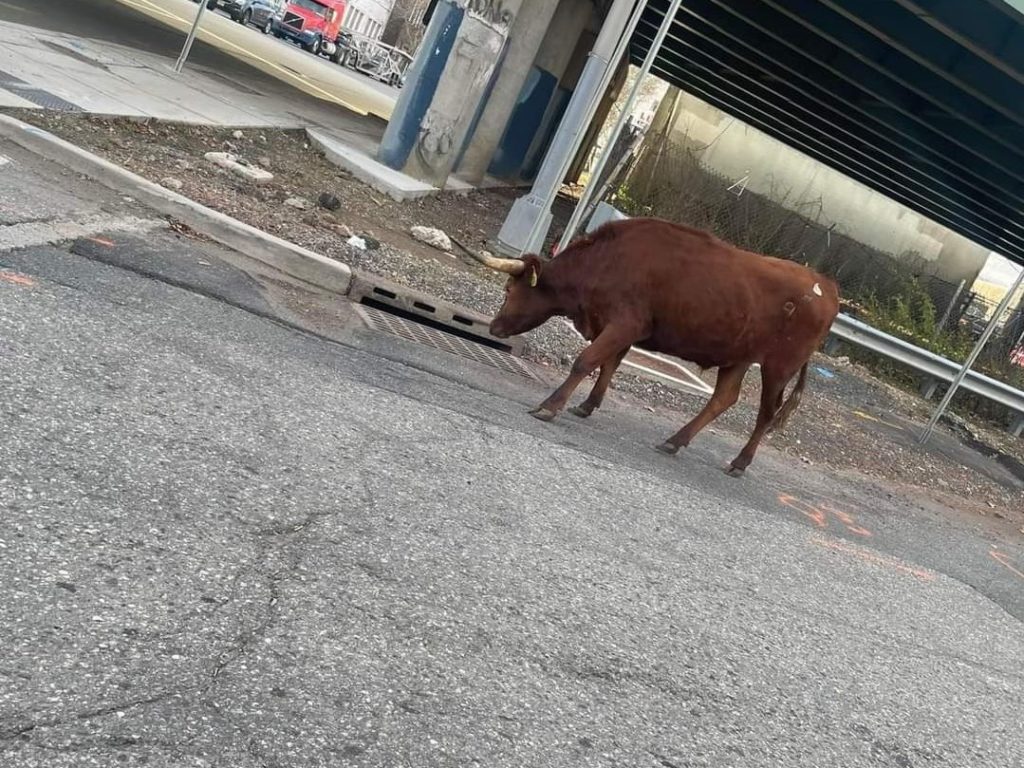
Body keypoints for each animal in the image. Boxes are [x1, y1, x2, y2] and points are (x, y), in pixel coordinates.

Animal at [471, 217, 839, 475]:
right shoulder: (624, 328)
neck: (606, 260)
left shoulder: (625, 323)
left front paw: (551, 405)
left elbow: (586, 361)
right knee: (724, 398)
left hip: (779, 366)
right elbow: (608, 364)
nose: (495, 326)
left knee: (765, 413)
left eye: (508, 289)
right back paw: (675, 441)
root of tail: (825, 285)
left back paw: (740, 461)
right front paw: (587, 405)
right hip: (738, 356)